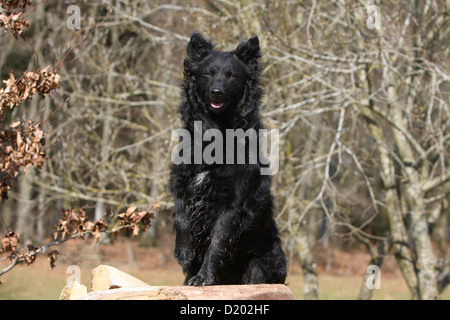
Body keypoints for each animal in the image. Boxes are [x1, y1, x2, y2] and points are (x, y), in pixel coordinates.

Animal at [171, 31, 286, 284]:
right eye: (208, 74)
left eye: (232, 76)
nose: (217, 92)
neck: (216, 131)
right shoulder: (183, 184)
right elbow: (182, 218)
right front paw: (184, 253)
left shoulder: (233, 202)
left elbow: (218, 241)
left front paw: (203, 278)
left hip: (261, 265)